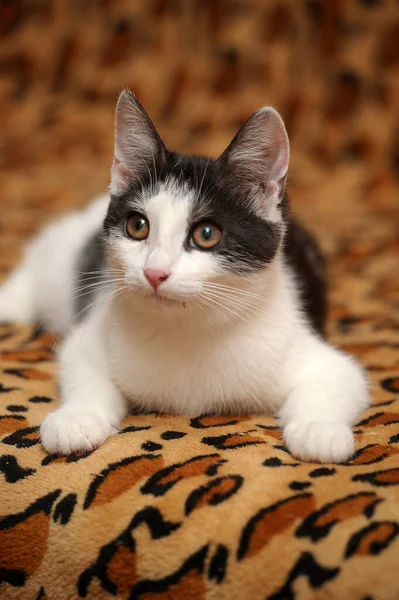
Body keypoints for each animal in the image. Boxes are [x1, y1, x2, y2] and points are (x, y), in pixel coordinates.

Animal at [0, 91, 372, 462]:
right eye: (138, 226)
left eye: (206, 234)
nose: (154, 273)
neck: (187, 327)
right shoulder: (90, 336)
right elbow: (82, 369)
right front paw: (77, 417)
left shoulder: (308, 348)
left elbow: (338, 378)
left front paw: (319, 429)